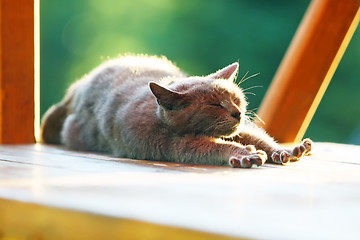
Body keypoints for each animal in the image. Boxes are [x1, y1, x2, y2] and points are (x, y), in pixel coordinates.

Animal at [40, 54, 312, 168]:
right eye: (215, 104)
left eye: (236, 99)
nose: (238, 113)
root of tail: (76, 89)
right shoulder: (173, 146)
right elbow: (217, 147)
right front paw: (245, 154)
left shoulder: (238, 129)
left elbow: (258, 138)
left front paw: (285, 151)